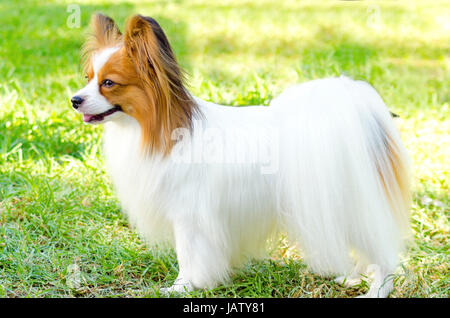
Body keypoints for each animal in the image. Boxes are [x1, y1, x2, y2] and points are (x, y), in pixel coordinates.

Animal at [71, 13, 412, 296]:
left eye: (108, 83)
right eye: (88, 78)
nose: (74, 99)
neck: (157, 129)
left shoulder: (189, 216)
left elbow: (188, 256)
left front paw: (181, 287)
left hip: (353, 207)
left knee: (384, 257)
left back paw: (375, 290)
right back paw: (351, 278)